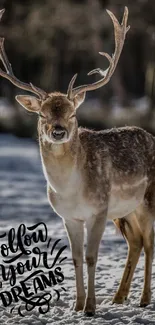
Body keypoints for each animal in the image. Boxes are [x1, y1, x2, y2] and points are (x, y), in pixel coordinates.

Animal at [0, 6, 154, 316]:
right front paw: (77, 304)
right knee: (136, 242)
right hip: (125, 211)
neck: (70, 190)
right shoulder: (69, 216)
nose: (58, 130)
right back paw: (118, 297)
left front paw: (91, 308)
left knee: (150, 243)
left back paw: (144, 299)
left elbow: (92, 257)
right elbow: (75, 258)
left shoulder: (98, 210)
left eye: (72, 113)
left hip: (148, 199)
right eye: (42, 114)